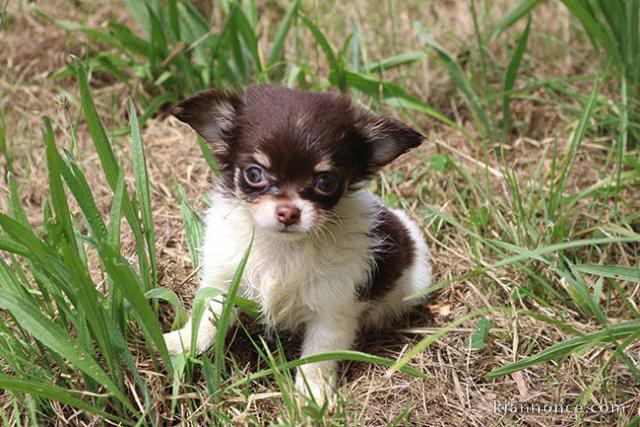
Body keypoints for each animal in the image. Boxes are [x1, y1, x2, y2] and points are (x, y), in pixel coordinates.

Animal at [165, 84, 432, 404]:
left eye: (326, 182)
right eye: (254, 174)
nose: (288, 212)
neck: (282, 247)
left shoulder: (332, 311)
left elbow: (318, 358)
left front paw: (313, 397)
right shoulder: (224, 278)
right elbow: (208, 318)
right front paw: (182, 343)